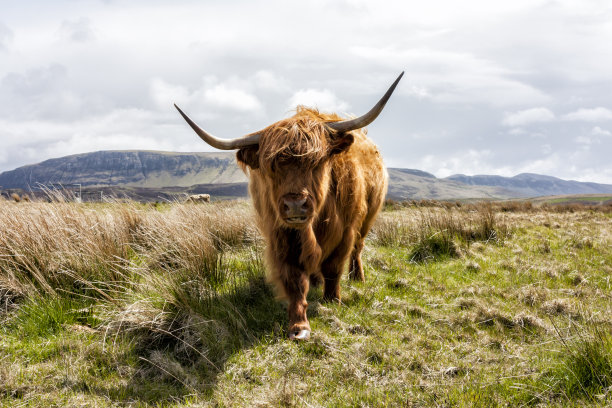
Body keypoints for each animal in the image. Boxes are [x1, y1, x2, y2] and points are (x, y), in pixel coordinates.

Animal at [175, 72, 404, 338]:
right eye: (271, 166)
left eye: (318, 161)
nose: (295, 205)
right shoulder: (280, 233)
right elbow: (294, 279)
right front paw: (299, 326)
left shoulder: (345, 231)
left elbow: (334, 267)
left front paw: (332, 301)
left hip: (367, 218)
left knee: (358, 248)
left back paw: (358, 278)